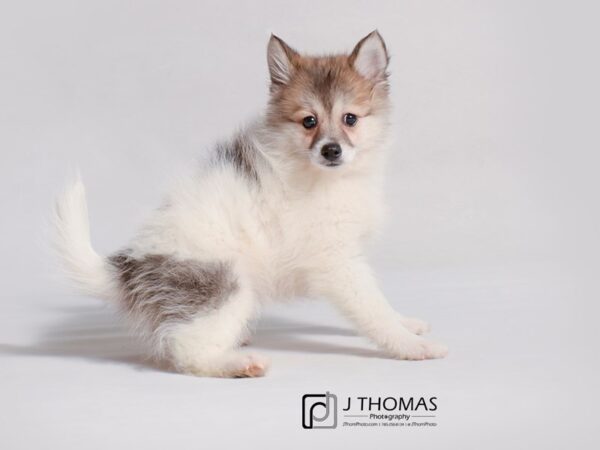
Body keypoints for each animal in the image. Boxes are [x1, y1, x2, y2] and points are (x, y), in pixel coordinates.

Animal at [52, 30, 446, 376]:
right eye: (309, 121)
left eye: (350, 118)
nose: (330, 150)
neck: (329, 177)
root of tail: (127, 269)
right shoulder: (338, 264)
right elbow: (372, 308)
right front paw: (411, 345)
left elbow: (382, 304)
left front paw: (407, 323)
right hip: (226, 284)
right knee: (187, 350)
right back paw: (237, 364)